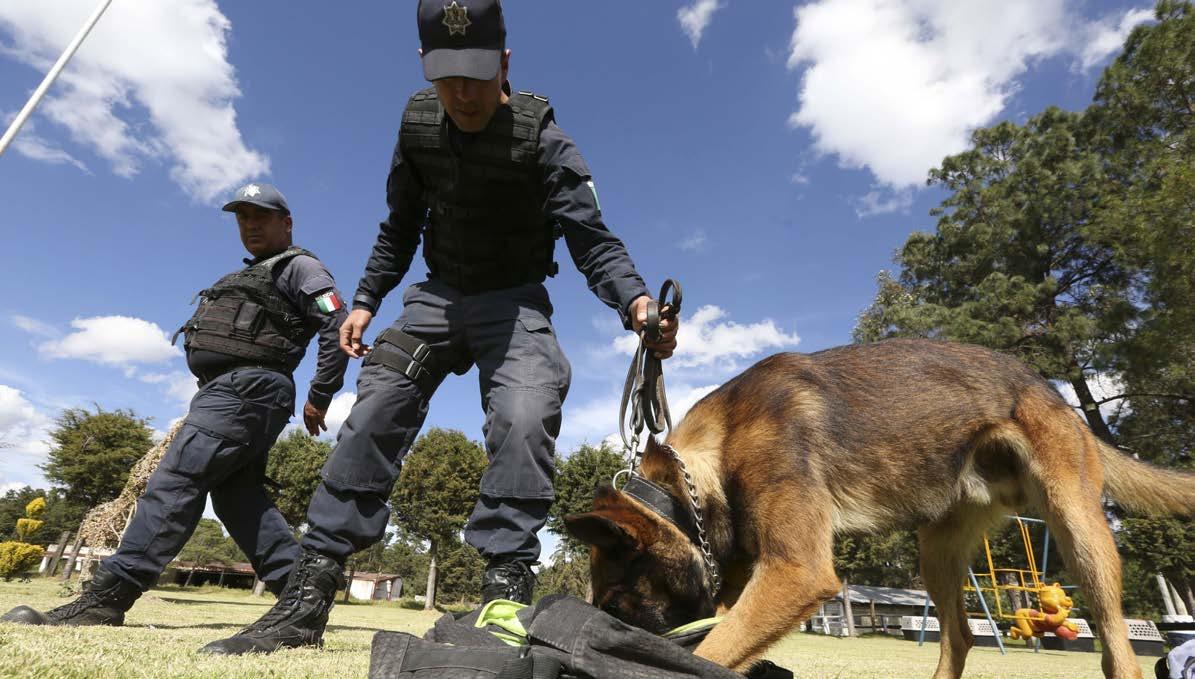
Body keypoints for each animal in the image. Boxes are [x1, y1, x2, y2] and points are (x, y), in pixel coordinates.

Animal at [565, 338, 1195, 679]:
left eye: (618, 603)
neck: (703, 469)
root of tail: (1058, 399)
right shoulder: (744, 579)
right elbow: (721, 643)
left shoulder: (795, 571)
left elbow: (715, 649)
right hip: (936, 551)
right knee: (960, 637)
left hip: (1079, 533)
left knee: (1117, 648)